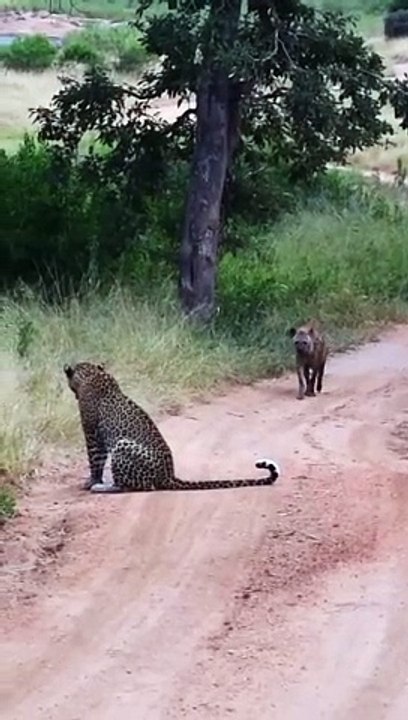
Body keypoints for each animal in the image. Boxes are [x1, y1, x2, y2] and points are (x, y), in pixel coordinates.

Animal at [64, 362, 280, 494]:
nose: (72, 393)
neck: (92, 373)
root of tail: (169, 476)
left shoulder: (92, 433)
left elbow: (95, 460)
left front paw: (92, 481)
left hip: (123, 445)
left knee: (138, 486)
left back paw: (106, 487)